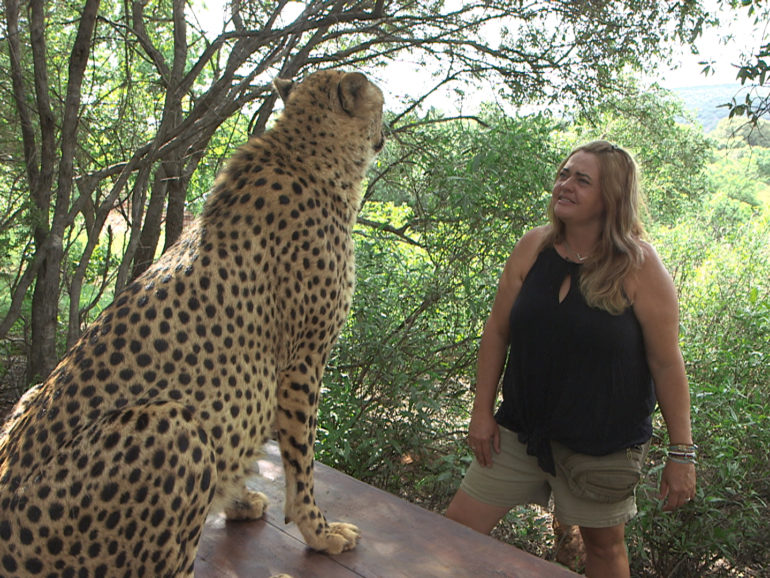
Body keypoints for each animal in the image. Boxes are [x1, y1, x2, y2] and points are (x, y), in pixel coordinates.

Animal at [0, 70, 384, 572]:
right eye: (381, 104)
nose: (386, 130)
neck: (305, 153)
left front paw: (239, 500)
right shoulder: (304, 360)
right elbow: (302, 461)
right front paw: (320, 533)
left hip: (30, 394)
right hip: (176, 429)